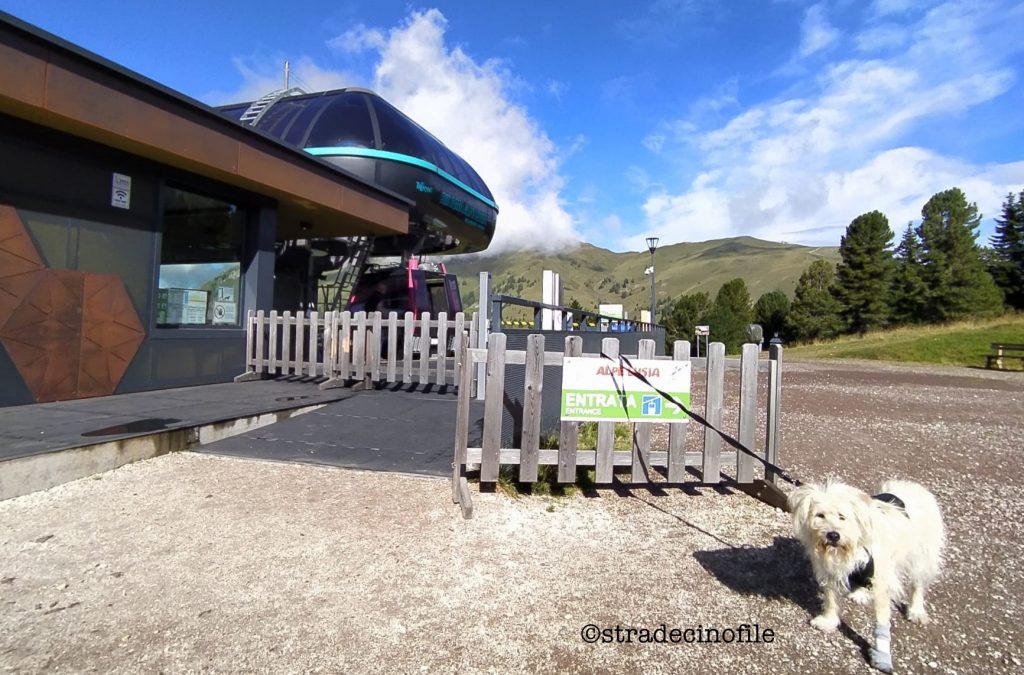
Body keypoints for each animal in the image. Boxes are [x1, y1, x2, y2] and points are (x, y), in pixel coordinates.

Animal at [786, 477, 946, 671]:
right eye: (820, 515)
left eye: (842, 516)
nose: (833, 535)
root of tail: (914, 486)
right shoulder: (831, 571)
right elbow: (831, 599)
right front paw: (828, 620)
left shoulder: (882, 580)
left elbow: (882, 618)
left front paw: (882, 654)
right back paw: (861, 592)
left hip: (922, 556)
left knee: (918, 584)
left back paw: (916, 610)